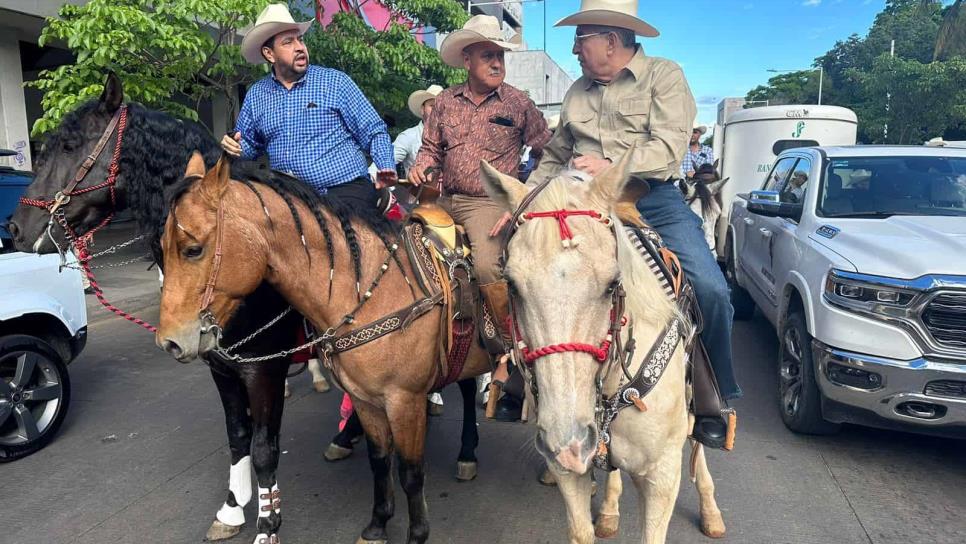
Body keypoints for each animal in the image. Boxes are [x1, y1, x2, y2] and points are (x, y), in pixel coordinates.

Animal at [157, 153, 500, 544]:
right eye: (160, 249)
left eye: (193, 249)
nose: (170, 341)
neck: (372, 290)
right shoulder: (361, 398)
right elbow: (378, 460)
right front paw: (377, 525)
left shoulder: (398, 398)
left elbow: (409, 472)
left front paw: (268, 525)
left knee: (470, 390)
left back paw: (469, 453)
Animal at [484, 150, 728, 544]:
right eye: (512, 284)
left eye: (613, 283)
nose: (567, 441)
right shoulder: (569, 469)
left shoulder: (661, 477)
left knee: (698, 439)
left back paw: (710, 509)